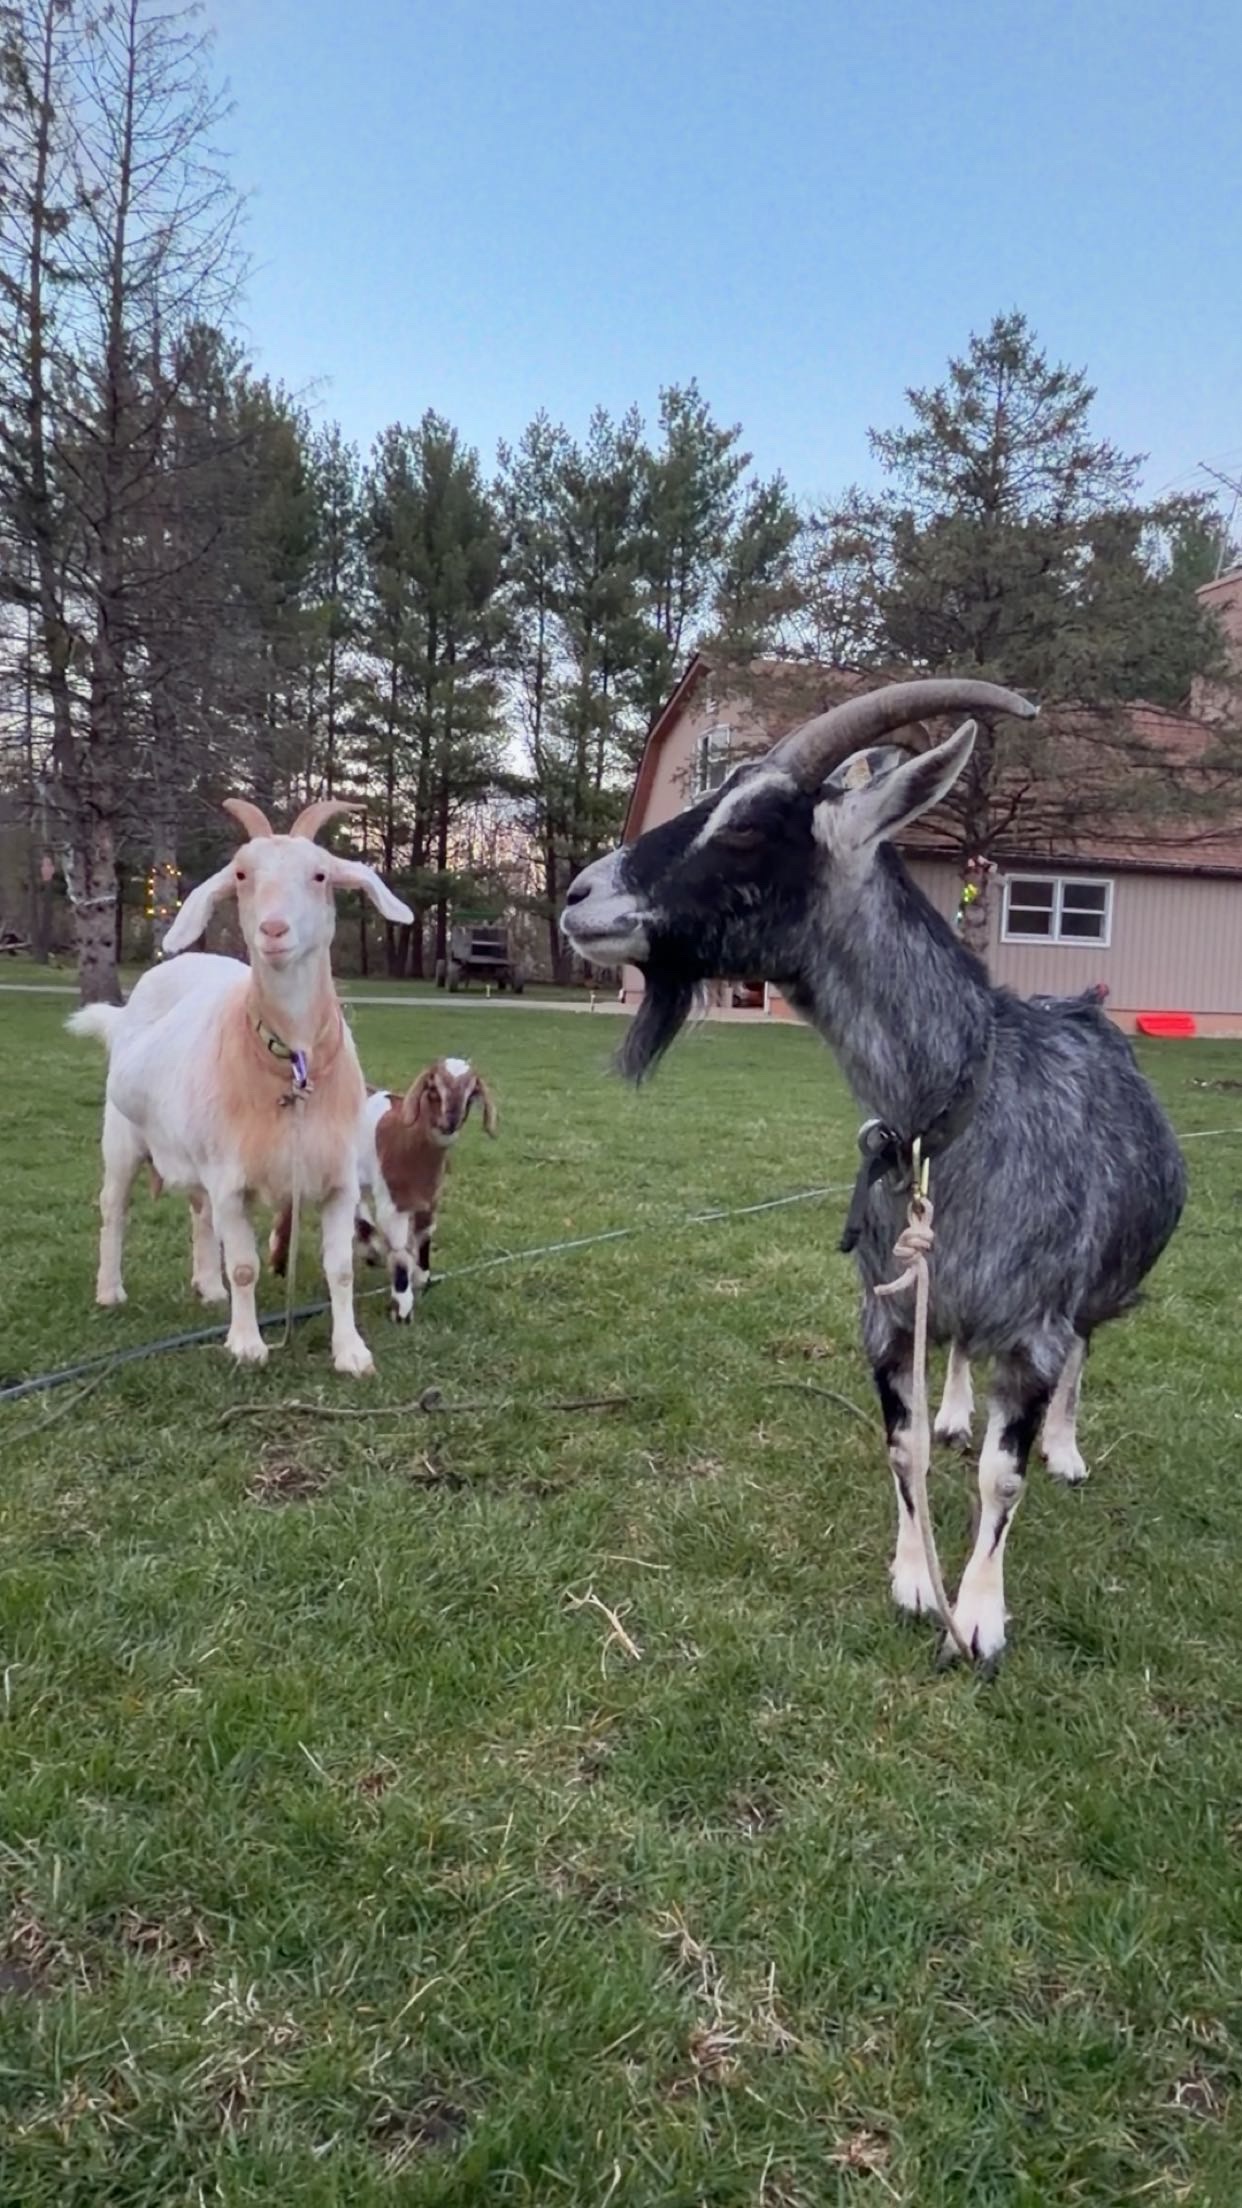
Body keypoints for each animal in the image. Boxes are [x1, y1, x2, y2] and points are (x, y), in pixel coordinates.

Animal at [68, 797, 413, 1377]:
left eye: (320, 874)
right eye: (242, 875)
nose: (273, 930)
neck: (292, 1066)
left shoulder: (337, 1179)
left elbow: (340, 1269)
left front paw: (351, 1352)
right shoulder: (232, 1179)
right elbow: (247, 1266)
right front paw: (247, 1344)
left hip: (196, 1151)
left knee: (199, 1212)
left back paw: (209, 1287)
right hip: (122, 1137)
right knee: (114, 1207)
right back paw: (110, 1291)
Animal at [268, 1055, 497, 1319]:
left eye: (471, 1095)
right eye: (432, 1089)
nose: (449, 1122)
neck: (406, 1139)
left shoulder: (428, 1200)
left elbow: (424, 1238)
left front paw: (421, 1277)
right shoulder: (393, 1203)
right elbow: (399, 1252)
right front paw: (402, 1307)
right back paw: (279, 1262)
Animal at [560, 680, 1186, 1664]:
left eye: (749, 827)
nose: (578, 896)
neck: (958, 1115)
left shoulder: (1037, 1328)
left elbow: (1004, 1477)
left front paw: (979, 1618)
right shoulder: (884, 1315)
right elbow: (905, 1449)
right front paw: (914, 1581)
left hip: (1088, 1293)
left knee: (1084, 1353)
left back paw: (1068, 1450)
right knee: (961, 1344)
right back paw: (960, 1410)